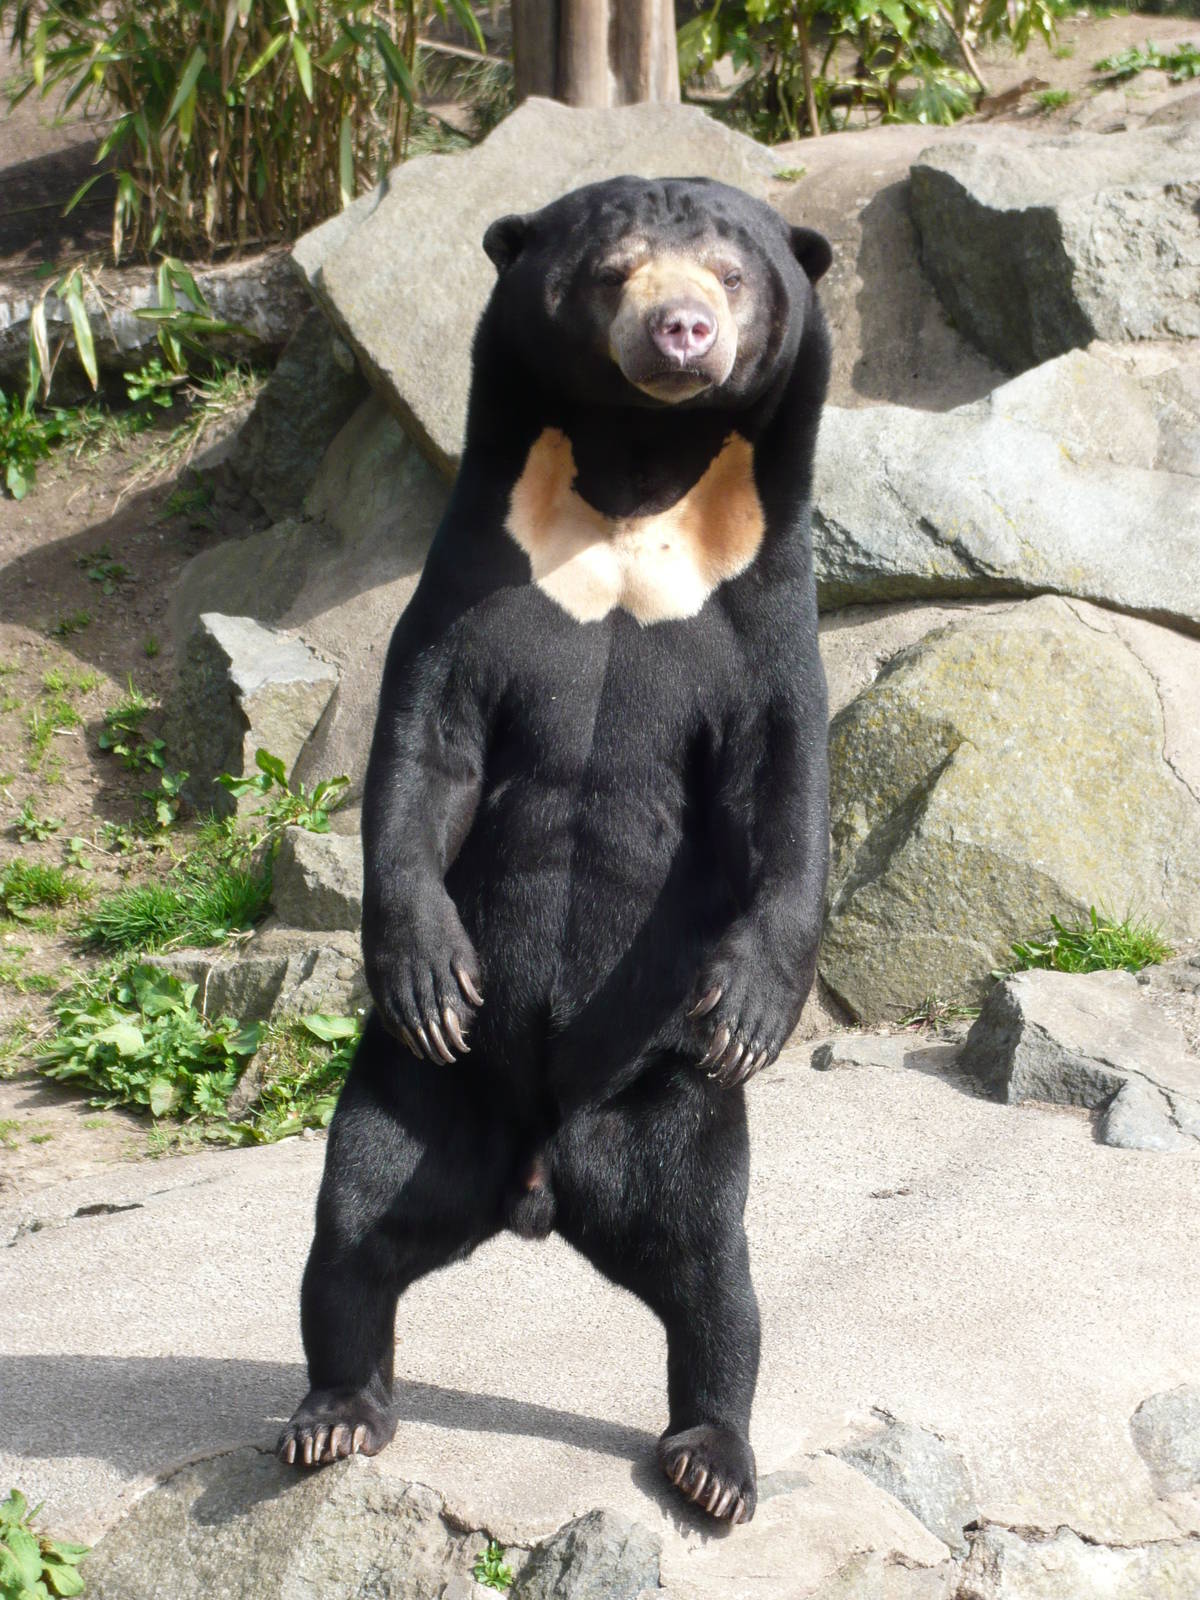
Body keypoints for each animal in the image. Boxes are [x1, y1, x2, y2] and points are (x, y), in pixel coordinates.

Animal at [277, 175, 833, 1527]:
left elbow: (784, 782)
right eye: (617, 268)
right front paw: (426, 968)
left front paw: (755, 1004)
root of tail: (535, 1178)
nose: (683, 333)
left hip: (661, 1094)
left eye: (729, 274)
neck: (635, 481)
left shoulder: (758, 609)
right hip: (420, 1092)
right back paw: (334, 1414)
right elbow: (426, 751)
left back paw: (711, 1459)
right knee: (357, 1226)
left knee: (709, 1267)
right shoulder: (479, 574)